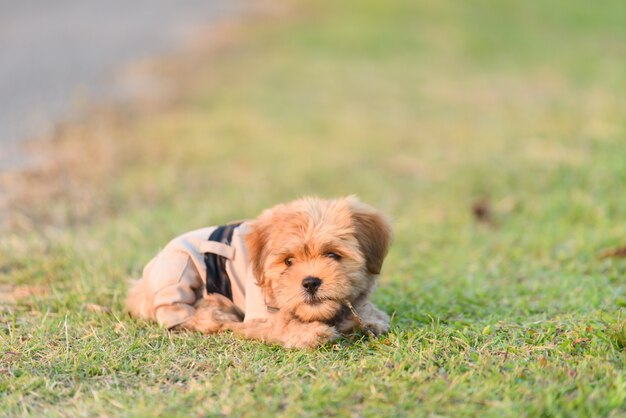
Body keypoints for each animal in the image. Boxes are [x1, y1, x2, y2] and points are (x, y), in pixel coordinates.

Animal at [123, 198, 390, 348]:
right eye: (288, 261)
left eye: (333, 255)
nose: (311, 283)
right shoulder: (259, 312)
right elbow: (279, 325)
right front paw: (311, 333)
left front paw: (368, 318)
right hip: (179, 271)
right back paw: (215, 314)